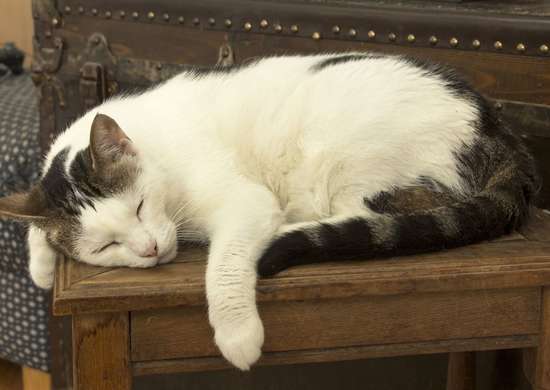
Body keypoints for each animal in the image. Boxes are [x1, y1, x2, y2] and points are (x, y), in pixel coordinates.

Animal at [0, 53, 540, 370]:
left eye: (139, 206)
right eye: (105, 246)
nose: (150, 249)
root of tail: (498, 128)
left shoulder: (246, 203)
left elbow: (223, 267)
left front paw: (237, 334)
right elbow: (35, 222)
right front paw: (42, 263)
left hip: (348, 159)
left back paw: (296, 224)